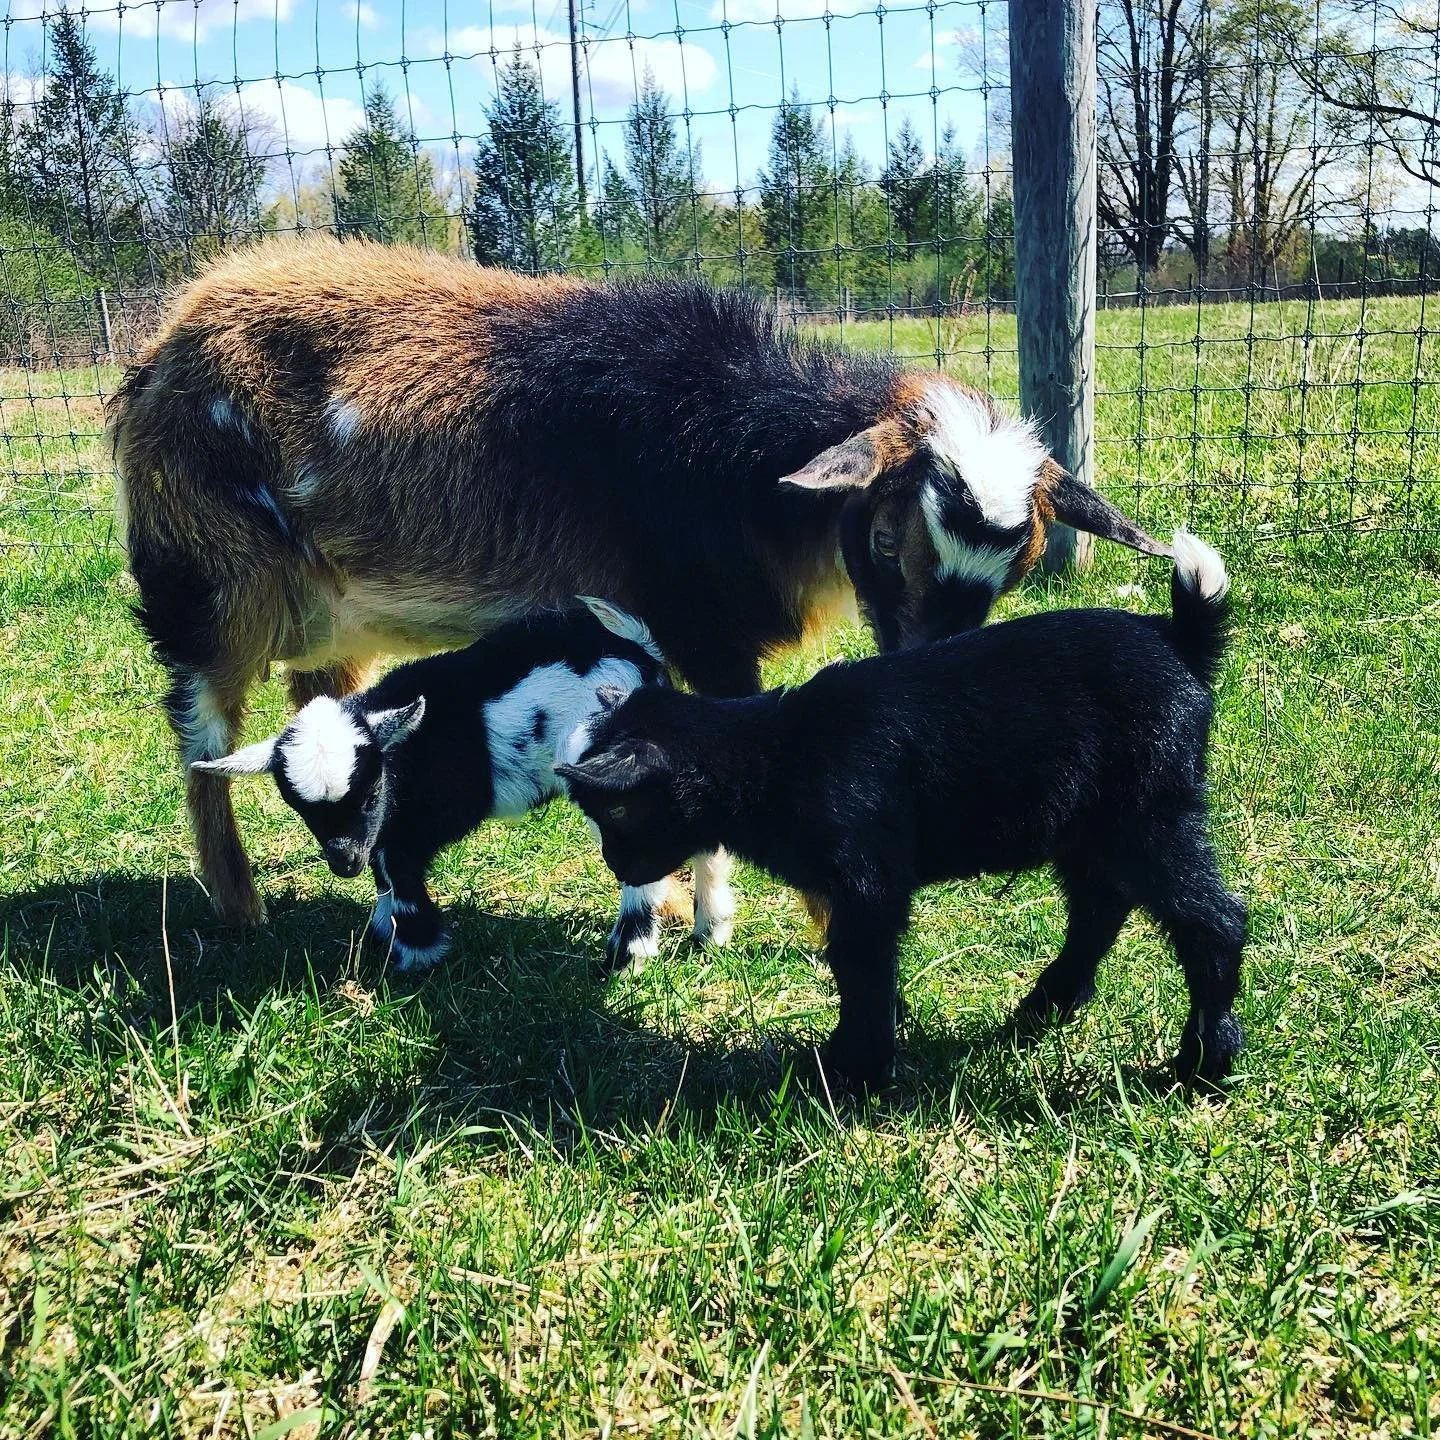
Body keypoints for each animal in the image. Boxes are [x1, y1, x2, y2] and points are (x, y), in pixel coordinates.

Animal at [110, 235, 1166, 924]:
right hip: (206, 579)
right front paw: (734, 920)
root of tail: (163, 346)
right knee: (201, 736)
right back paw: (238, 907)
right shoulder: (699, 628)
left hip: (334, 620)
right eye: (885, 537)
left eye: (1017, 564)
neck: (742, 457)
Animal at [192, 599, 734, 971]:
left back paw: (629, 955)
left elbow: (399, 874)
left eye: (370, 793)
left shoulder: (408, 828)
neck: (402, 752)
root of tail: (638, 650)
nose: (345, 864)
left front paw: (416, 955)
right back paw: (712, 931)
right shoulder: (386, 830)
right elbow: (385, 872)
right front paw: (385, 931)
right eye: (301, 809)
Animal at [558, 533, 1247, 1090]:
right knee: (1100, 906)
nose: (614, 865)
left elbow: (860, 964)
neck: (771, 757)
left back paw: (1202, 1065)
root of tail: (1181, 639)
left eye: (615, 815)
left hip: (1152, 809)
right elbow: (853, 964)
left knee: (1211, 918)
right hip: (1092, 825)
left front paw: (853, 1070)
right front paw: (861, 1050)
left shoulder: (868, 881)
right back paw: (1042, 1009)